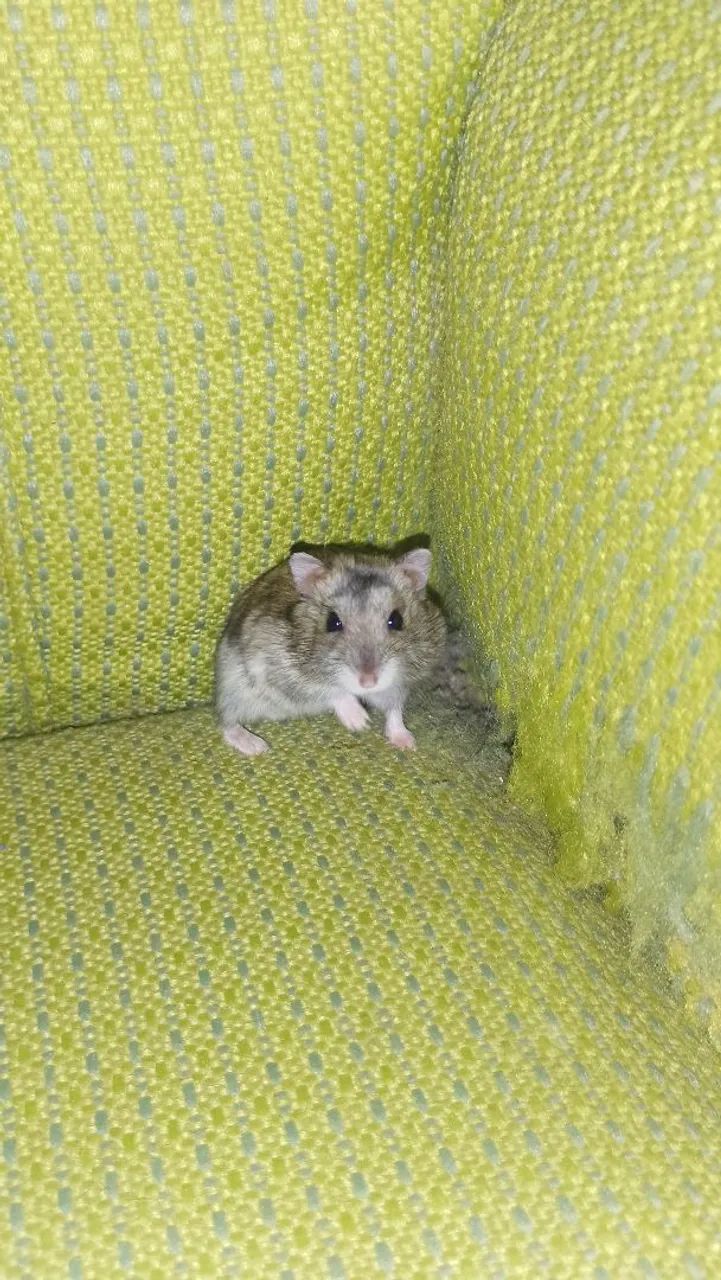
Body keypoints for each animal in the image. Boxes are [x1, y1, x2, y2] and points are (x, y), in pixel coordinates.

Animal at [215, 544, 447, 755]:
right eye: (332, 622)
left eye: (397, 620)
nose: (368, 682)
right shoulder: (284, 673)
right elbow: (332, 690)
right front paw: (360, 722)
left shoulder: (399, 684)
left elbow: (394, 710)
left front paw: (408, 744)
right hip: (234, 691)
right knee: (226, 722)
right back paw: (257, 746)